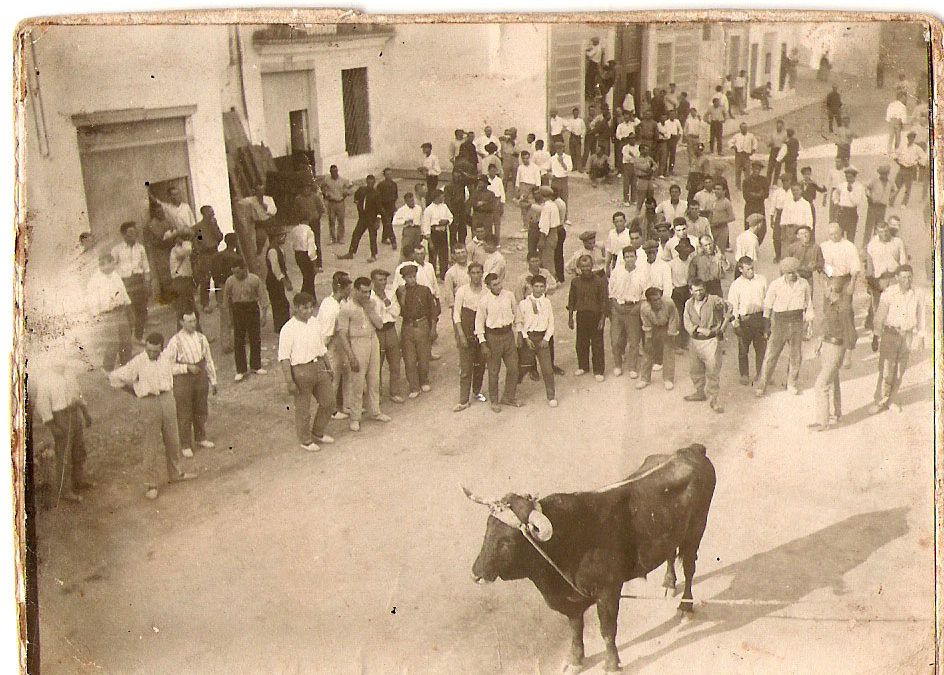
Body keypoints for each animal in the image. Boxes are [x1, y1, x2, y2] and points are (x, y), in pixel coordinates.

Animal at [464, 444, 716, 672]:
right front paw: (574, 660)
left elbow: (607, 630)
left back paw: (685, 606)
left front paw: (611, 664)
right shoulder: (571, 599)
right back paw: (668, 583)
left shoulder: (608, 591)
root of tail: (690, 451)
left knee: (689, 568)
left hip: (696, 530)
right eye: (487, 530)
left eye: (507, 541)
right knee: (670, 554)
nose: (476, 574)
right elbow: (575, 628)